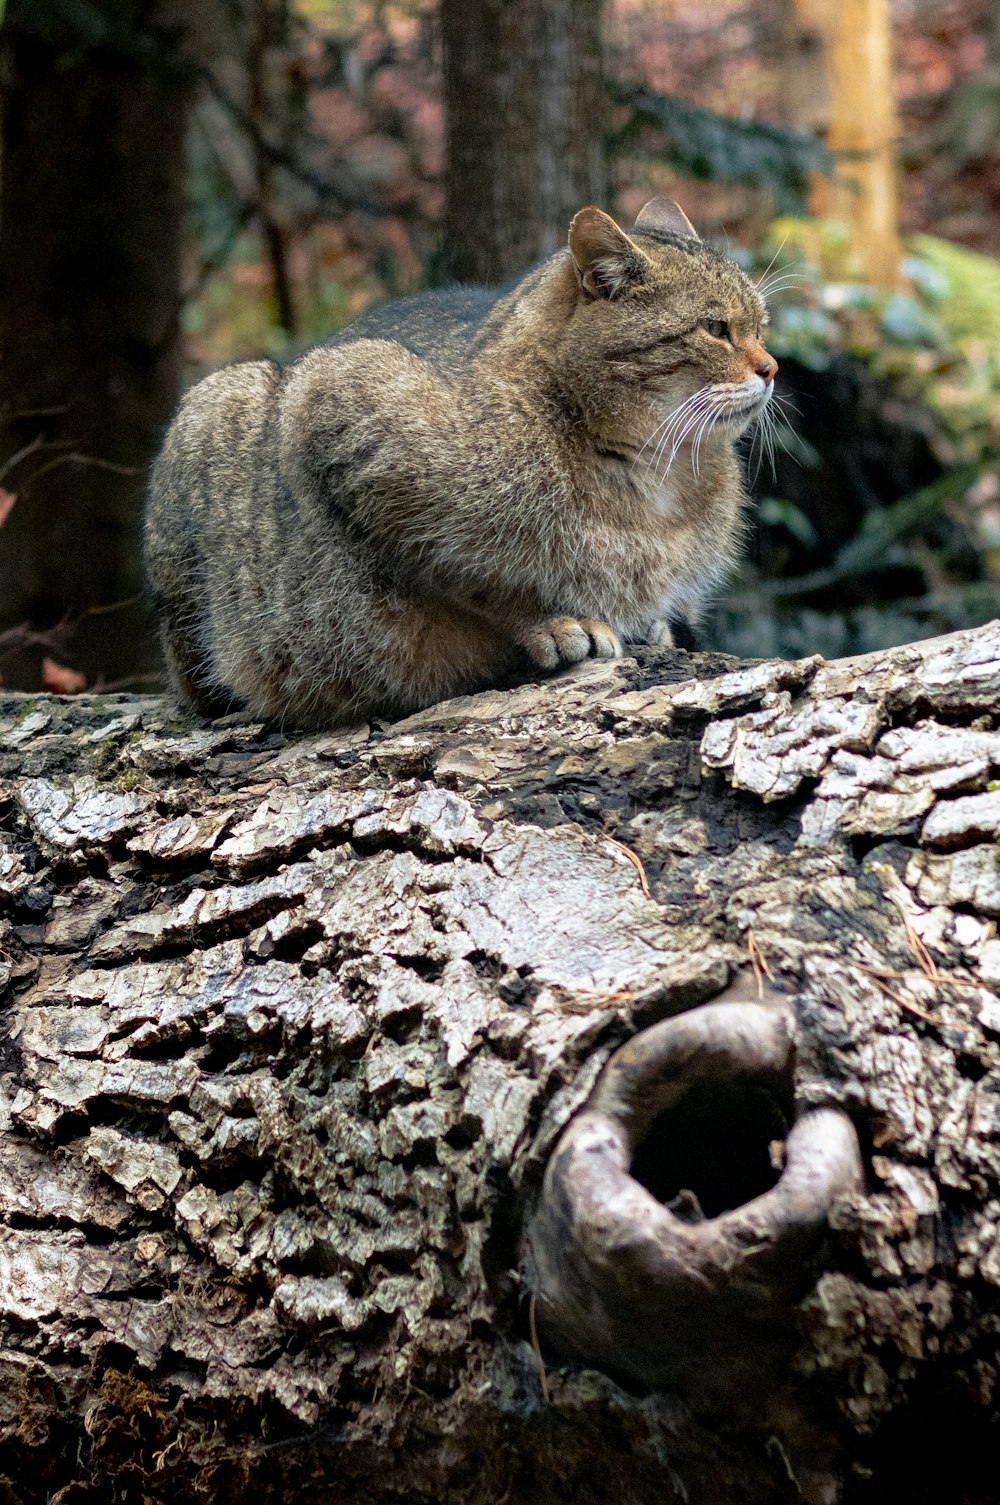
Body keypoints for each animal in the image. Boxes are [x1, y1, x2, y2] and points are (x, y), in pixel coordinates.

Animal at [144, 197, 777, 725]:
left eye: (761, 326)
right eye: (717, 328)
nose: (772, 368)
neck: (652, 471)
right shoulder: (340, 405)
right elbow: (472, 578)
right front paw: (550, 620)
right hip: (222, 402)